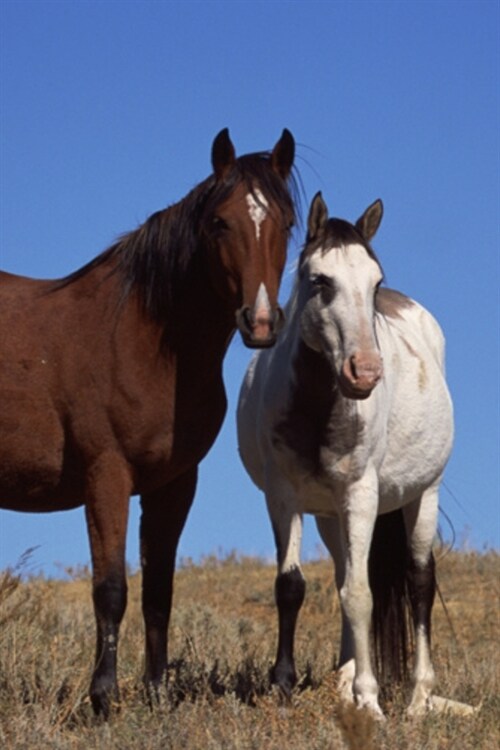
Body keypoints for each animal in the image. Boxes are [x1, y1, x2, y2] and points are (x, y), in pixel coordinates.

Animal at [0, 129, 296, 716]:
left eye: (288, 222)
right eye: (219, 221)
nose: (260, 323)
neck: (143, 338)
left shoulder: (174, 484)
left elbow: (159, 588)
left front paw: (157, 693)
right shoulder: (107, 476)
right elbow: (111, 588)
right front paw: (103, 697)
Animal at [236, 191, 456, 720]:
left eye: (375, 282)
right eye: (320, 280)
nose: (366, 372)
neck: (318, 403)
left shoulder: (361, 493)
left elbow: (361, 594)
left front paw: (371, 701)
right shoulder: (284, 497)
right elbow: (292, 586)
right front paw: (284, 686)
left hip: (422, 495)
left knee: (419, 580)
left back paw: (418, 699)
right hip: (330, 516)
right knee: (342, 572)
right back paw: (343, 680)